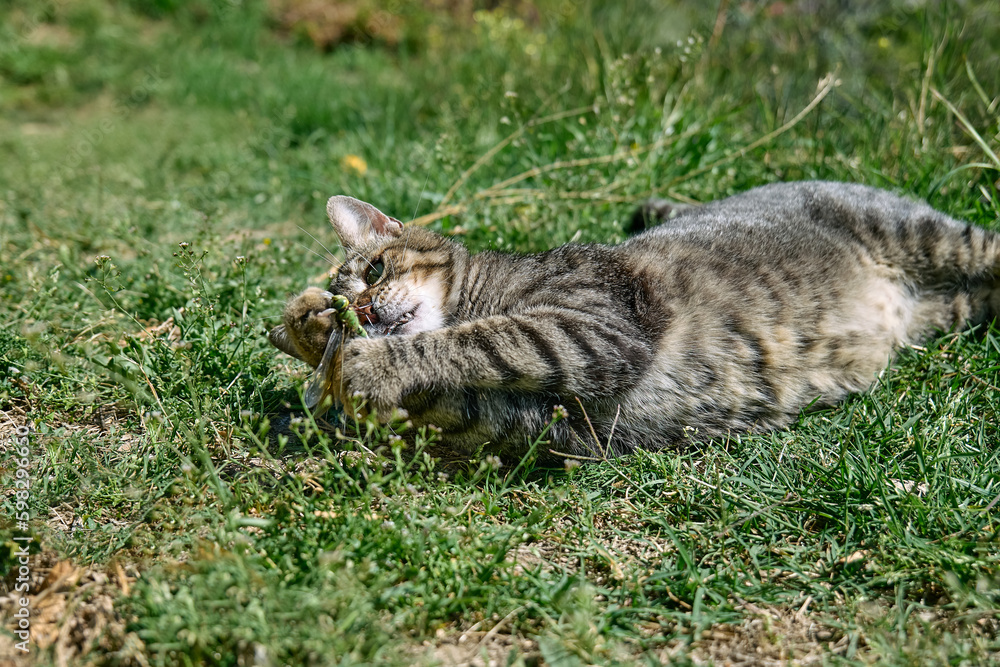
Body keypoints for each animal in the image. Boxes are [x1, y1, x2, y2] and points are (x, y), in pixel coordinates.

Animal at [268, 180, 1000, 456]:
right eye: (353, 301)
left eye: (375, 270)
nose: (361, 309)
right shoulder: (553, 423)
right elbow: (458, 384)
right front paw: (309, 332)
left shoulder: (594, 326)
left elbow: (481, 339)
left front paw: (361, 358)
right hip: (956, 309)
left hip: (934, 236)